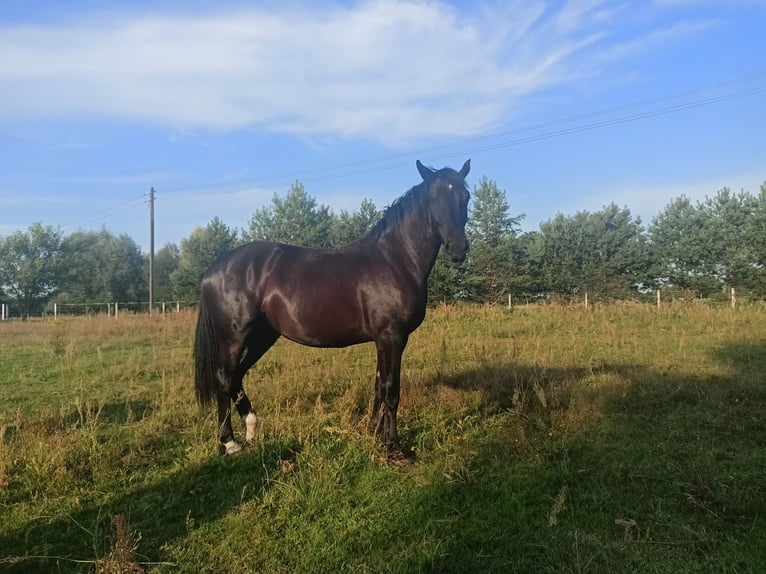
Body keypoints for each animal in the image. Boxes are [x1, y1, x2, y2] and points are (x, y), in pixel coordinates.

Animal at [195, 161, 472, 464]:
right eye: (434, 198)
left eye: (465, 197)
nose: (458, 249)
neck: (394, 260)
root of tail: (214, 269)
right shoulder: (392, 337)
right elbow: (391, 390)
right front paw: (394, 449)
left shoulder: (384, 340)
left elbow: (378, 386)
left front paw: (374, 434)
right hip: (234, 337)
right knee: (224, 378)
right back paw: (229, 442)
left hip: (262, 336)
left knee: (237, 375)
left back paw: (251, 429)